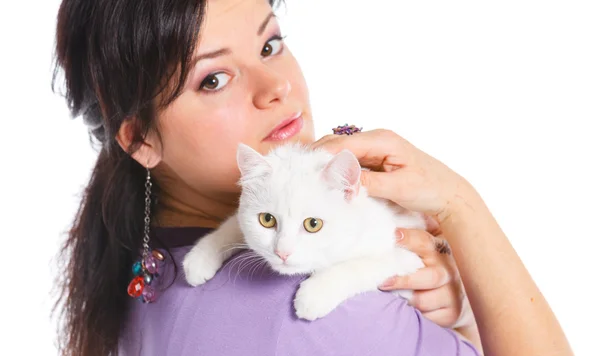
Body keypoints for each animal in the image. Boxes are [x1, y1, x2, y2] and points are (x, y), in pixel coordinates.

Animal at [183, 143, 426, 322]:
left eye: (313, 224)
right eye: (267, 220)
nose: (282, 252)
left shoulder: (408, 253)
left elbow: (360, 265)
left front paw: (315, 294)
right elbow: (232, 225)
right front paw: (201, 257)